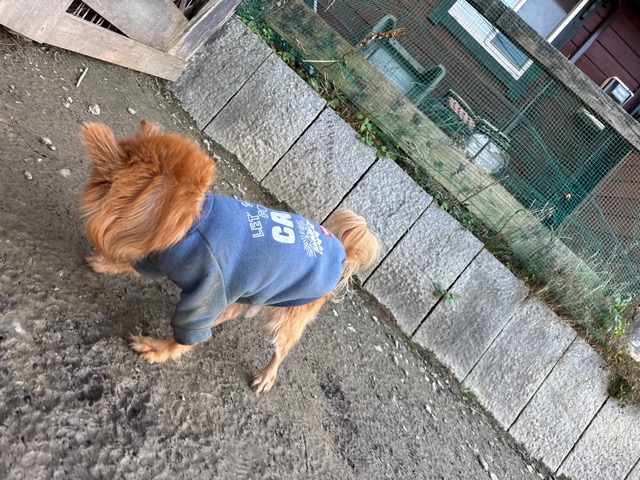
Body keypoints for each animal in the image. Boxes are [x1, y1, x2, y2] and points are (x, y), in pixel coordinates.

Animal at [80, 120, 379, 393]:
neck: (191, 222)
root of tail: (342, 252)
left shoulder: (208, 287)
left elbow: (186, 334)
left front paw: (158, 350)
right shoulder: (160, 259)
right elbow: (133, 265)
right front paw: (107, 264)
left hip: (289, 315)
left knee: (280, 349)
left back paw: (267, 375)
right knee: (233, 309)